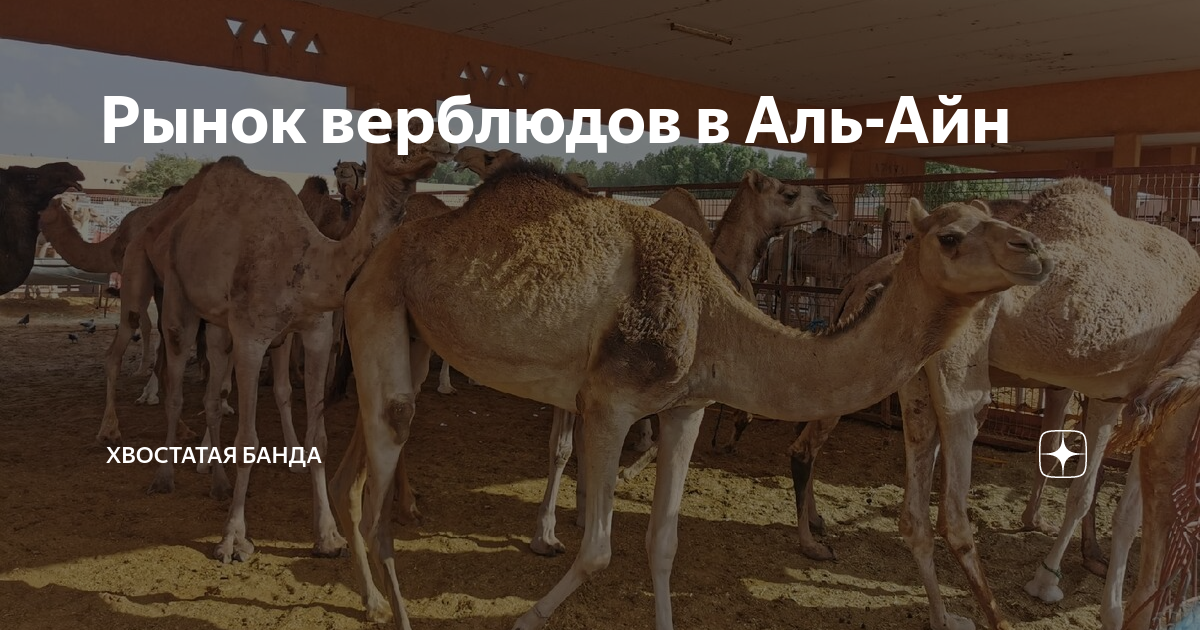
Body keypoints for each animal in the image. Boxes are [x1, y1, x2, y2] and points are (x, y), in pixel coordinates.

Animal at [148, 128, 452, 564]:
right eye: (393, 131)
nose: (443, 147)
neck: (310, 265)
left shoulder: (317, 334)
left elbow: (319, 438)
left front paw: (328, 536)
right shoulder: (253, 337)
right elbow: (248, 441)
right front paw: (232, 540)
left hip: (220, 325)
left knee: (212, 395)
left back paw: (218, 484)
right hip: (177, 295)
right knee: (175, 386)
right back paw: (164, 476)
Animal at [779, 181, 1200, 630]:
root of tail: (863, 282)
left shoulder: (1113, 394)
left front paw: (1080, 562)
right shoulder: (1142, 396)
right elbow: (1103, 502)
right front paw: (1068, 590)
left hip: (908, 377)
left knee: (905, 508)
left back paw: (938, 612)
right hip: (959, 380)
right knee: (946, 510)